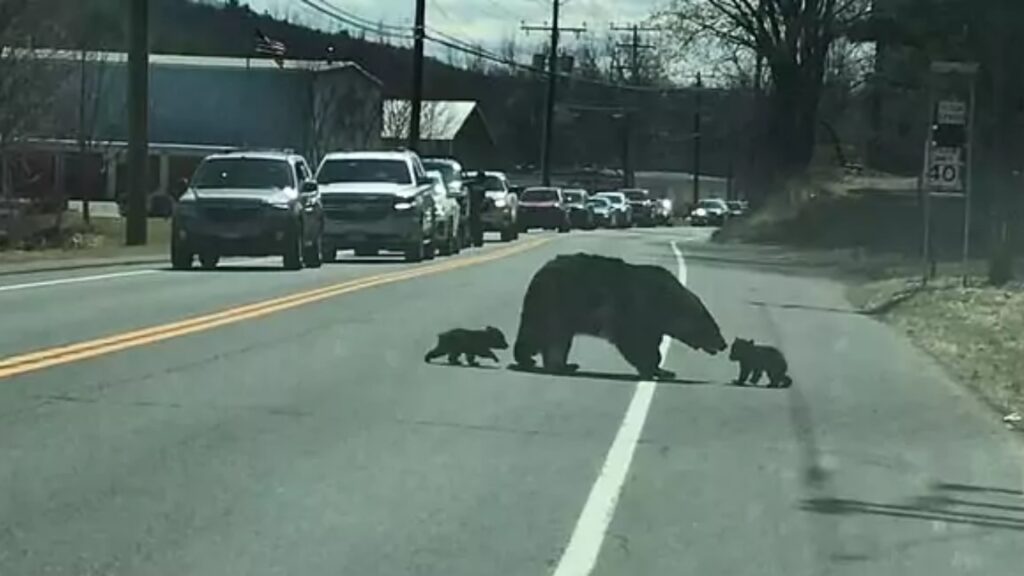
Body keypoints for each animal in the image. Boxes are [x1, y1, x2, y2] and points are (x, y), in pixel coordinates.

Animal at [512, 253, 729, 379]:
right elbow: (635, 342)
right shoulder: (637, 310)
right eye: (713, 328)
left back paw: (564, 365)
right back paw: (533, 360)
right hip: (556, 303)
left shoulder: (654, 322)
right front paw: (652, 369)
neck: (668, 304)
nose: (724, 344)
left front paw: (663, 370)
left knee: (557, 339)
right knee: (543, 334)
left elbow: (651, 342)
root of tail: (540, 272)